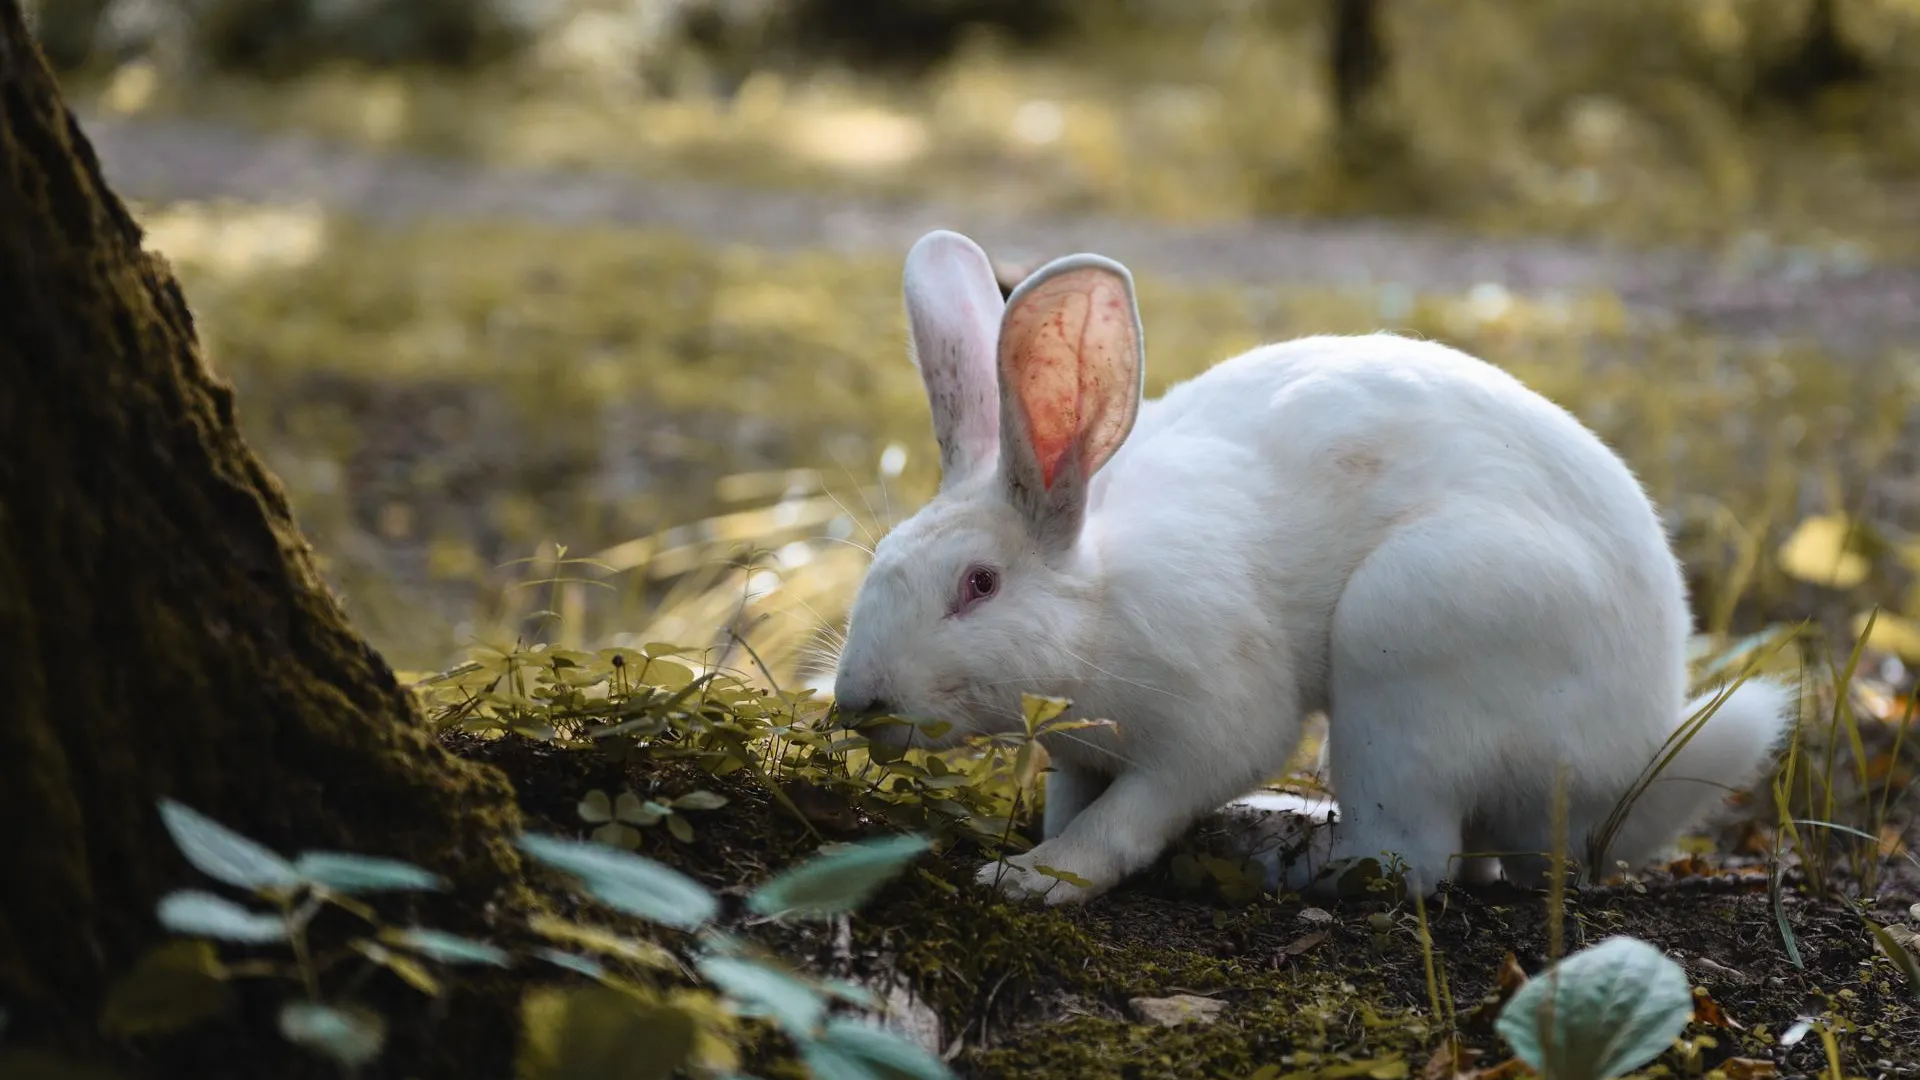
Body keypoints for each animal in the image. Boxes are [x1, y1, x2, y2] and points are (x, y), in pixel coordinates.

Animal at [833, 226, 1789, 899]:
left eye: (979, 585)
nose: (857, 703)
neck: (1098, 602)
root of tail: (1624, 767)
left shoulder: (1211, 727)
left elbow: (1128, 818)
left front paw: (1035, 879)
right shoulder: (1080, 757)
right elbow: (1075, 803)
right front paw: (1040, 854)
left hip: (1403, 651)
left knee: (1409, 861)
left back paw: (1283, 861)